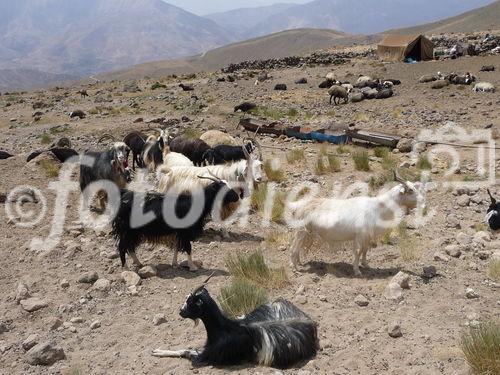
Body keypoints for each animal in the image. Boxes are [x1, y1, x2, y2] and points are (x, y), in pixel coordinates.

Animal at [112, 178, 240, 272]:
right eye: (223, 188)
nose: (237, 197)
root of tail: (123, 197)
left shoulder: (179, 232)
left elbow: (177, 247)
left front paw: (175, 264)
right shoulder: (185, 231)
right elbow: (188, 248)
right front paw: (192, 267)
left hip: (133, 232)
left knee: (130, 247)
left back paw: (139, 263)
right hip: (127, 230)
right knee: (122, 246)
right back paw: (126, 269)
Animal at [288, 173, 424, 276]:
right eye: (410, 190)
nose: (423, 200)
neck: (377, 208)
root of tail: (300, 206)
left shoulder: (367, 236)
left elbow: (365, 250)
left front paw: (366, 265)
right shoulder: (359, 236)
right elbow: (358, 252)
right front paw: (357, 270)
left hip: (307, 233)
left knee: (298, 248)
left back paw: (299, 263)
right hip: (301, 231)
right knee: (294, 248)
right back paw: (295, 269)